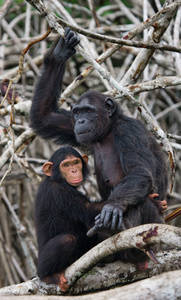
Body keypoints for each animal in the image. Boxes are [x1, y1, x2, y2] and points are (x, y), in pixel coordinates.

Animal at [30, 27, 168, 234]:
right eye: (78, 112)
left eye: (89, 110)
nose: (81, 121)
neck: (108, 132)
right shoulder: (70, 125)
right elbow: (44, 117)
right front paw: (61, 51)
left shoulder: (129, 132)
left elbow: (139, 172)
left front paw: (112, 208)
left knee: (141, 202)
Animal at [35, 146, 106, 292]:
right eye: (66, 165)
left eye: (75, 162)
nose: (74, 170)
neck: (58, 179)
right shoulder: (60, 191)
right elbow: (88, 209)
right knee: (66, 240)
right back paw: (47, 275)